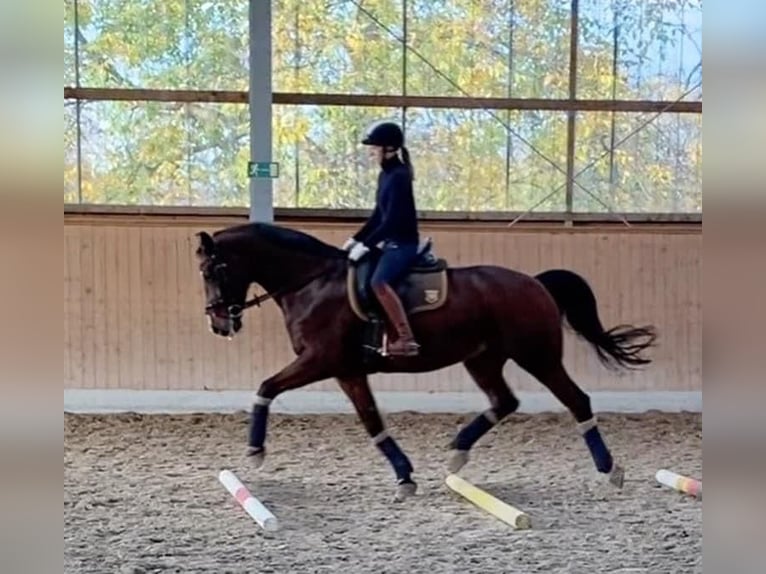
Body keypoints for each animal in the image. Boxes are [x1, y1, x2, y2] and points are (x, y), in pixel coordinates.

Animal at [195, 223, 656, 502]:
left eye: (213, 270)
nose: (218, 323)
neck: (312, 283)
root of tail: (535, 283)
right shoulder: (348, 371)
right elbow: (372, 423)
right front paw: (404, 477)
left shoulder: (321, 361)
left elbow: (266, 387)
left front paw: (255, 451)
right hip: (483, 358)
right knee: (504, 402)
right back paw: (456, 454)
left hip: (537, 355)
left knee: (577, 401)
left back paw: (609, 471)